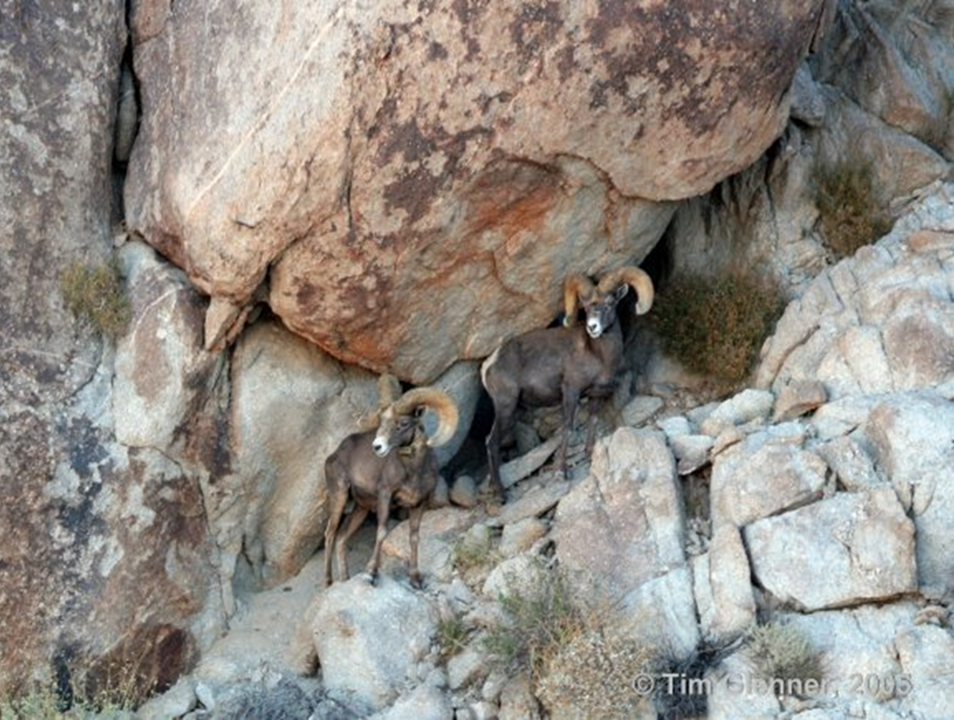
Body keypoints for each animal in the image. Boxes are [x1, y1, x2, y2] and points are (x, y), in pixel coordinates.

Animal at [323, 376, 459, 589]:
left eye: (403, 423)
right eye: (382, 422)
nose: (377, 446)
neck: (413, 472)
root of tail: (333, 455)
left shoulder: (418, 504)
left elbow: (414, 538)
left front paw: (415, 579)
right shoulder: (385, 496)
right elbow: (381, 532)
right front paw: (370, 574)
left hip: (361, 509)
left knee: (342, 538)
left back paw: (344, 579)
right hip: (339, 496)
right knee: (330, 534)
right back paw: (328, 582)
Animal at [481, 266, 654, 494]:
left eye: (609, 303)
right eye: (586, 307)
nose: (592, 327)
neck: (599, 355)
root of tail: (489, 363)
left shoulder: (596, 395)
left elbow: (593, 421)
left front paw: (590, 453)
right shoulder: (571, 391)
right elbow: (568, 427)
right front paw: (562, 471)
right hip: (505, 405)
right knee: (491, 442)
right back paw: (500, 493)